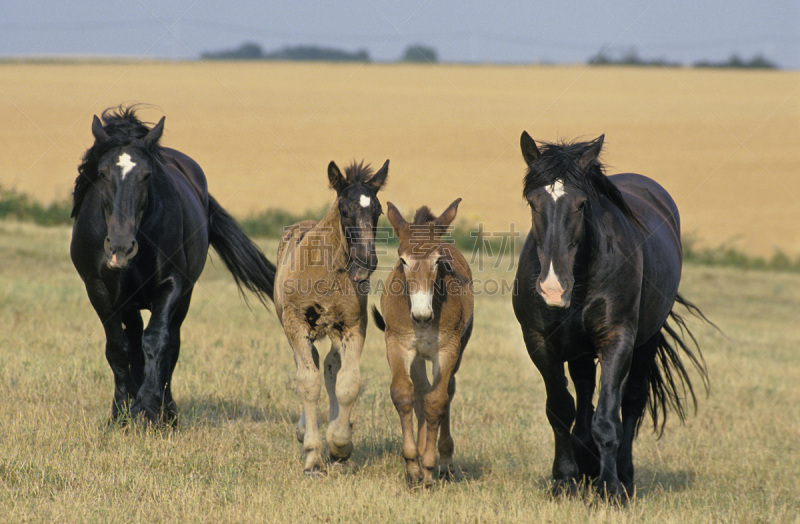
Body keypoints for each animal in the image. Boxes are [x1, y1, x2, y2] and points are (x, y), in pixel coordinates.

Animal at [72, 107, 278, 426]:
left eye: (146, 175)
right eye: (102, 174)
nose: (120, 247)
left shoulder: (171, 285)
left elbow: (158, 341)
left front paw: (148, 410)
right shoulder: (98, 289)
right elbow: (118, 347)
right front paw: (120, 413)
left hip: (184, 297)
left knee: (170, 342)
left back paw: (167, 412)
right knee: (133, 337)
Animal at [376, 199, 476, 486]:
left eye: (437, 260)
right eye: (402, 259)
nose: (422, 315)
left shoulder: (448, 349)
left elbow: (437, 401)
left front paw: (430, 468)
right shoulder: (397, 345)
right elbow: (404, 394)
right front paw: (412, 465)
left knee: (446, 391)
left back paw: (444, 461)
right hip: (418, 356)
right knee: (420, 390)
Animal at [512, 132, 708, 500]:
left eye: (581, 204)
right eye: (532, 202)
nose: (553, 289)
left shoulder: (617, 340)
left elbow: (607, 418)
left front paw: (610, 489)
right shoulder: (540, 343)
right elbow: (560, 408)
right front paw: (564, 479)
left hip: (645, 341)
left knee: (631, 403)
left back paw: (624, 475)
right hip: (580, 348)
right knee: (585, 392)